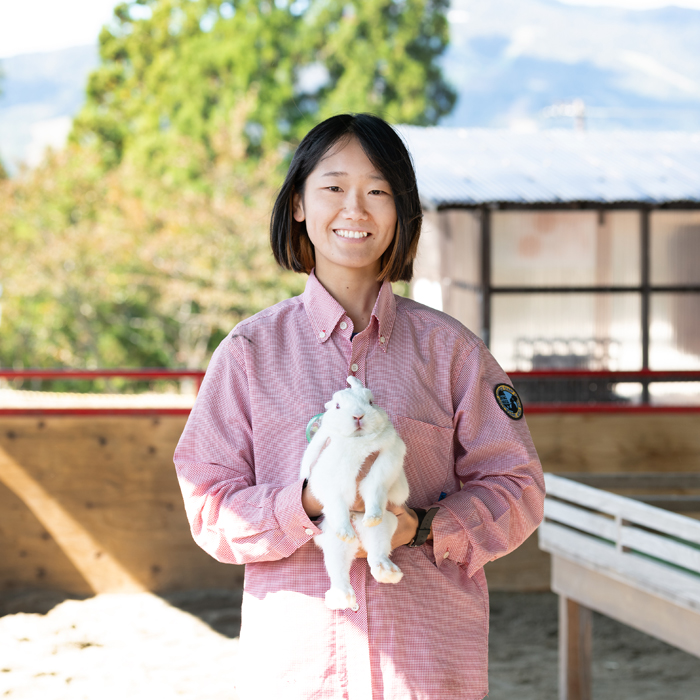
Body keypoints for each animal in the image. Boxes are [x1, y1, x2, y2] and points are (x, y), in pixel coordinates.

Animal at [300, 374, 410, 608]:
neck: (357, 442)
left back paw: (387, 570)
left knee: (377, 553)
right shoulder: (330, 482)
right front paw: (344, 530)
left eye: (371, 402)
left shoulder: (384, 464)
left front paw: (372, 515)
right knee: (338, 570)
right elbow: (337, 504)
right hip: (332, 541)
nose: (358, 416)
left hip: (385, 526)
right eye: (338, 406)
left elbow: (374, 489)